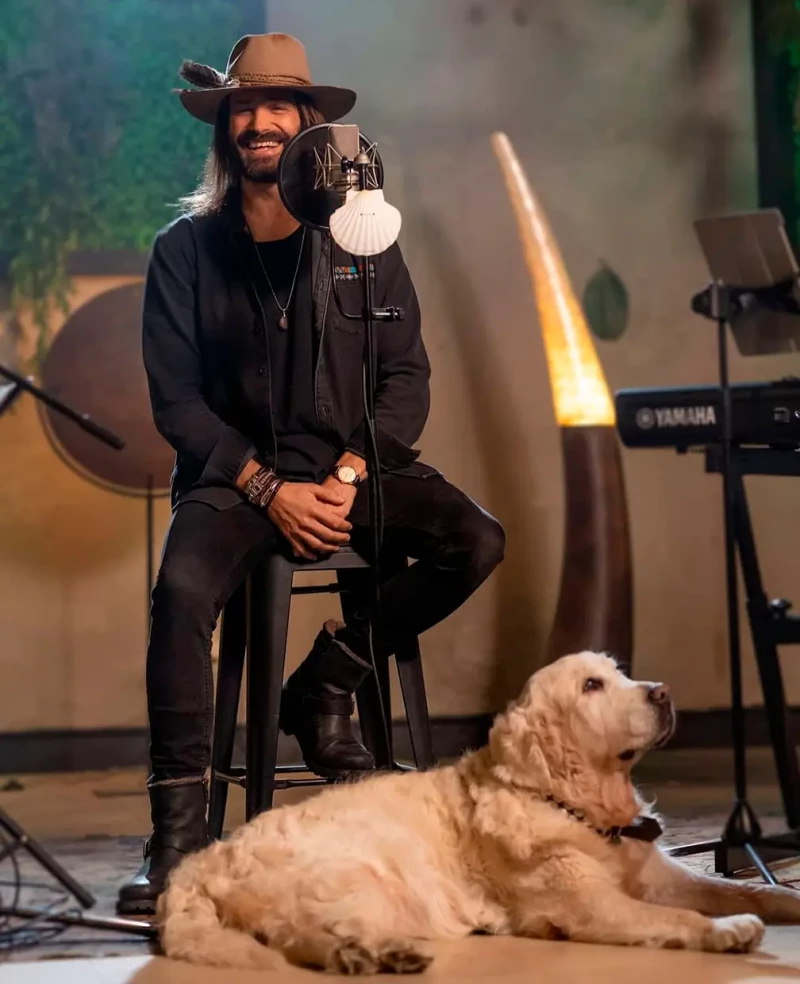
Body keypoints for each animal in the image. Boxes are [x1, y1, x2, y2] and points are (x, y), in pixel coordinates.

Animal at [155, 648, 800, 972]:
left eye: (619, 673)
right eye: (591, 686)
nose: (662, 693)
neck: (571, 802)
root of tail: (200, 863)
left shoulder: (661, 875)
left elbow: (742, 888)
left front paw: (781, 901)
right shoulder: (589, 904)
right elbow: (681, 918)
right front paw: (726, 932)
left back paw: (378, 955)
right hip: (352, 877)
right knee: (306, 936)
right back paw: (371, 954)